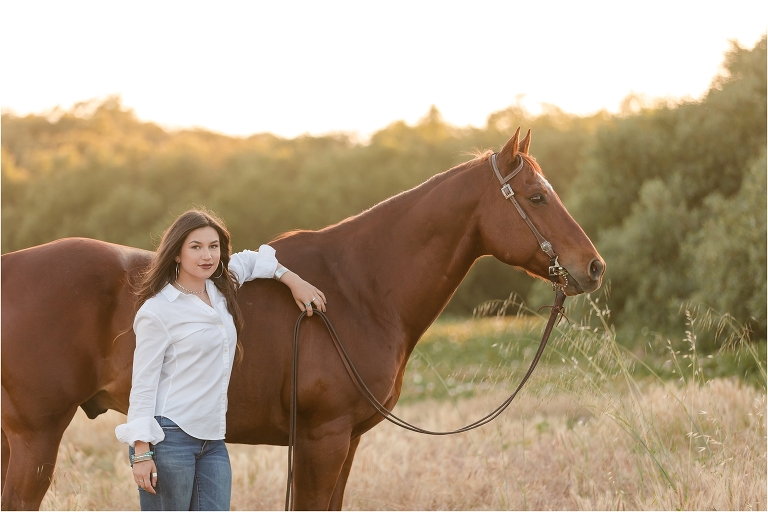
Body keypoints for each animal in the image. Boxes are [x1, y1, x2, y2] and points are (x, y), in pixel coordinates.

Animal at [1, 129, 604, 510]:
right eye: (537, 197)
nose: (593, 268)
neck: (360, 289)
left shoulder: (346, 442)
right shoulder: (323, 438)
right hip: (36, 434)